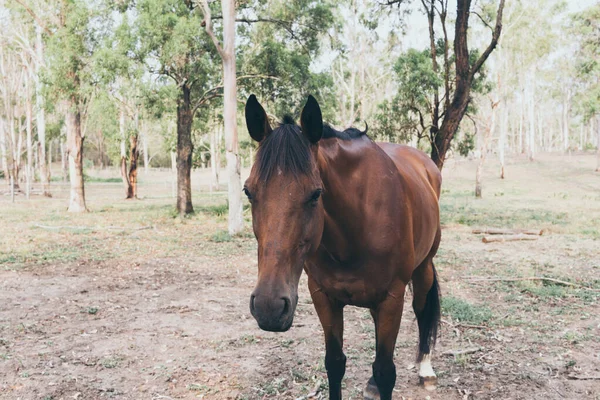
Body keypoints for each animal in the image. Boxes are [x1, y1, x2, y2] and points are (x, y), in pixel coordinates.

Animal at [244, 94, 440, 400]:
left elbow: (386, 371)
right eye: (248, 192)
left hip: (423, 269)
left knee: (422, 311)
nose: (269, 307)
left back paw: (426, 370)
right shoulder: (324, 296)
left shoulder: (392, 298)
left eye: (316, 194)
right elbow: (335, 363)